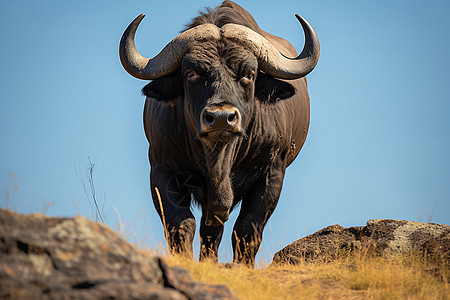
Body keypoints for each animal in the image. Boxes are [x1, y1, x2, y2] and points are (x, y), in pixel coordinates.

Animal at [118, 1, 318, 266]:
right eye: (191, 73)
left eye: (249, 74)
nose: (222, 118)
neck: (218, 159)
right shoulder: (161, 169)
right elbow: (180, 224)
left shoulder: (272, 173)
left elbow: (246, 229)